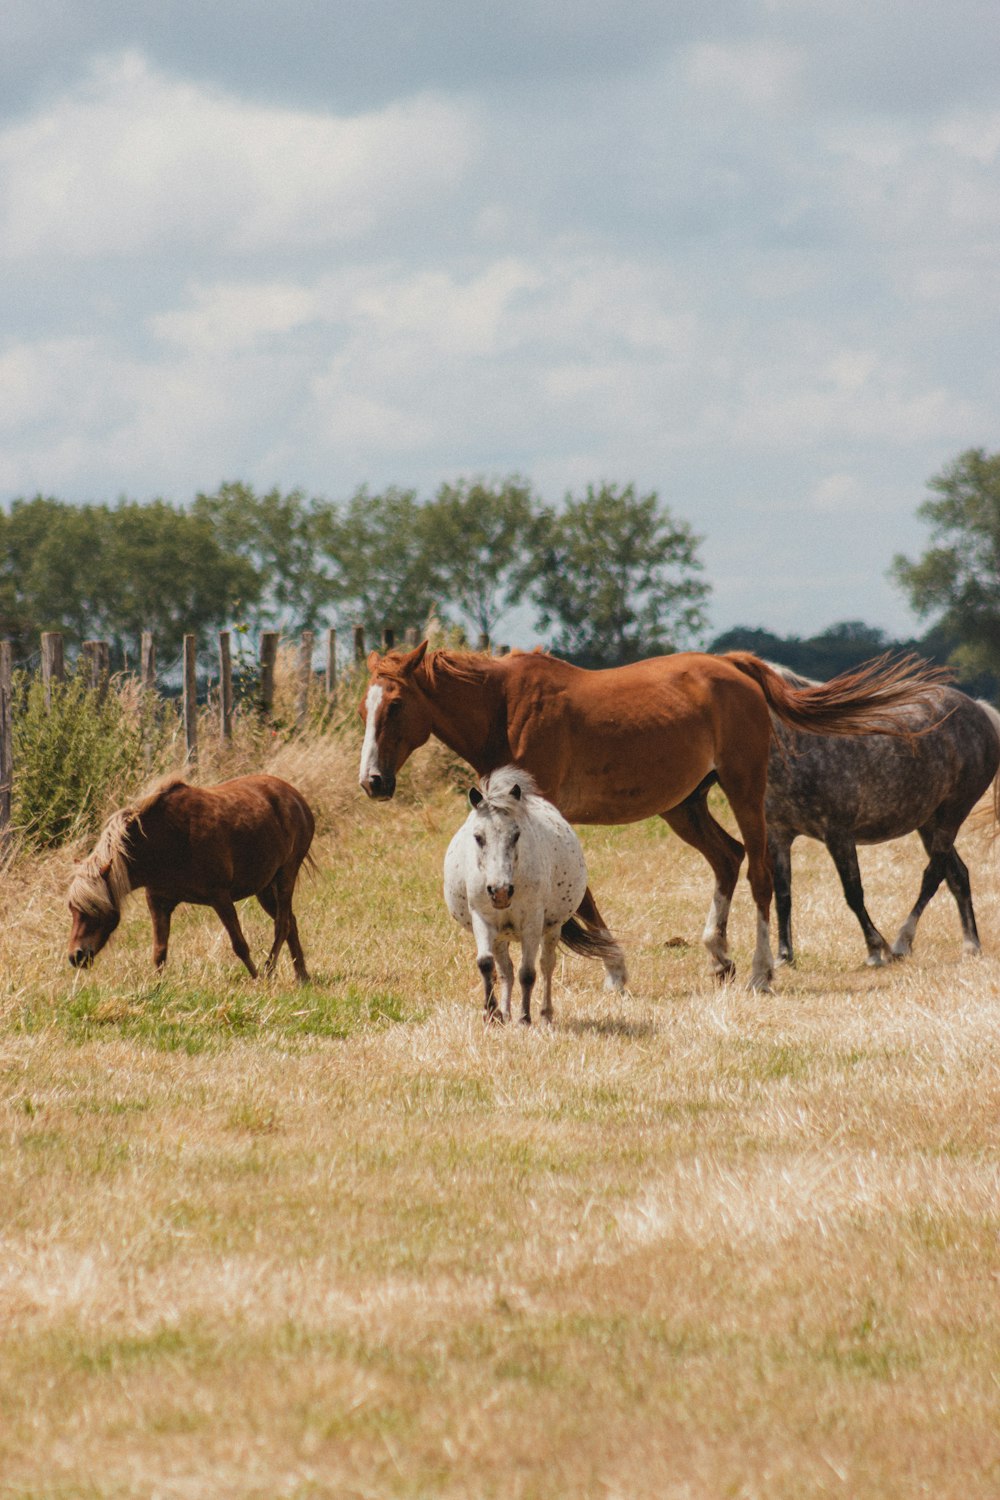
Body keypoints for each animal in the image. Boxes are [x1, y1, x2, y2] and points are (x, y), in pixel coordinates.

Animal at [66, 774, 314, 984]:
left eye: (94, 909)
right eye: (72, 909)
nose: (75, 956)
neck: (165, 838)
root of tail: (296, 797)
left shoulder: (220, 897)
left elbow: (240, 945)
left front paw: (257, 979)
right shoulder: (158, 902)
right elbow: (159, 951)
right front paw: (157, 988)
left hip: (286, 875)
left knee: (282, 925)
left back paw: (270, 971)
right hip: (264, 887)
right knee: (291, 922)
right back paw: (302, 976)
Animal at [359, 639, 947, 990]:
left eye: (395, 705)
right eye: (365, 707)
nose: (373, 781)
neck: (504, 707)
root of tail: (733, 666)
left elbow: (581, 895)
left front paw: (615, 969)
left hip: (742, 788)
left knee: (759, 873)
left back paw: (760, 971)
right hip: (684, 805)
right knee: (728, 858)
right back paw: (718, 955)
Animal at [443, 768, 620, 1026]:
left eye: (516, 835)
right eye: (478, 837)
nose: (500, 891)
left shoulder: (532, 923)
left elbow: (528, 973)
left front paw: (525, 1018)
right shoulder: (482, 919)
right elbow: (486, 964)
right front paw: (492, 1014)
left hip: (551, 928)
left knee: (546, 966)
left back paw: (545, 1015)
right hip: (501, 935)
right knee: (505, 969)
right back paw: (505, 1013)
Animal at [767, 675, 1000, 966]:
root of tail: (981, 710)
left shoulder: (838, 834)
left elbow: (853, 893)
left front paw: (876, 950)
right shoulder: (779, 834)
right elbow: (782, 895)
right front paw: (783, 956)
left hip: (951, 816)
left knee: (932, 876)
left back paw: (902, 942)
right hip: (929, 823)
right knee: (958, 874)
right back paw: (971, 945)